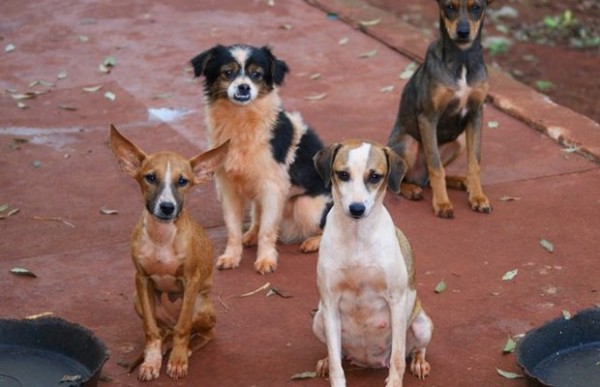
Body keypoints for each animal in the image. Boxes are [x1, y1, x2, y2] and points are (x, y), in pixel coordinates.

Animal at [109, 125, 229, 382]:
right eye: (150, 177)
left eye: (183, 181)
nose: (167, 207)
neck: (161, 237)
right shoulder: (141, 279)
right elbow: (150, 330)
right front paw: (151, 362)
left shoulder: (191, 280)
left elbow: (183, 328)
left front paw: (178, 361)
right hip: (138, 299)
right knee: (165, 331)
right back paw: (164, 345)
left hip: (200, 305)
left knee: (201, 332)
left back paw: (187, 348)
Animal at [191, 45, 332, 274]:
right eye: (227, 72)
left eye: (256, 74)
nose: (244, 88)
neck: (241, 121)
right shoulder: (227, 188)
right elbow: (233, 229)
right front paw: (232, 256)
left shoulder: (272, 188)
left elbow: (267, 231)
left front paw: (266, 260)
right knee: (257, 217)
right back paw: (250, 235)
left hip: (305, 206)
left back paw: (312, 242)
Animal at [312, 140, 434, 387]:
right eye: (343, 174)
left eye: (375, 176)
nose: (356, 209)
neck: (358, 237)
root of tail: (368, 361)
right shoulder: (330, 303)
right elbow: (336, 365)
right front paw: (333, 372)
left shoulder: (396, 301)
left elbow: (398, 360)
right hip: (319, 320)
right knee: (336, 353)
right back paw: (325, 361)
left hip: (422, 325)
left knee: (415, 350)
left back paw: (419, 362)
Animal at [390, 0, 492, 218]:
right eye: (449, 7)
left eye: (477, 7)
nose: (463, 32)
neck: (462, 59)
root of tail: (417, 177)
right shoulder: (428, 118)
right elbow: (436, 167)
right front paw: (442, 204)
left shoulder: (476, 114)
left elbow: (475, 163)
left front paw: (478, 197)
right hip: (409, 143)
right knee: (398, 180)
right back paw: (411, 189)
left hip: (459, 142)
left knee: (428, 177)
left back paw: (459, 181)